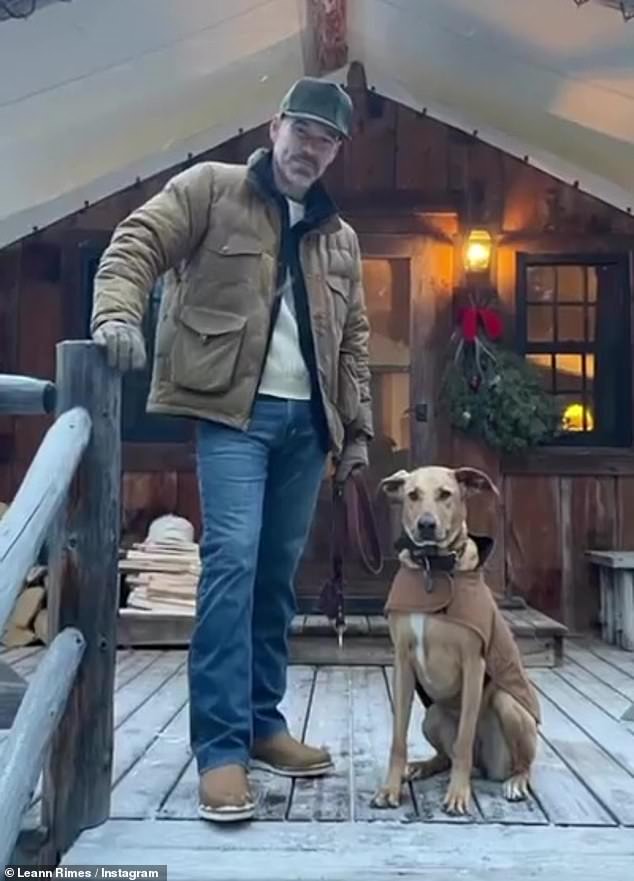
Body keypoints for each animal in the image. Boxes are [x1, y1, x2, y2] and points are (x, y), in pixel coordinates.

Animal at [370, 464, 540, 816]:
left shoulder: (473, 663)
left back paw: (516, 782)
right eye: (412, 495)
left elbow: (463, 741)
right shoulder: (402, 662)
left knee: (517, 762)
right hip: (432, 716)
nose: (426, 524)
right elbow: (397, 738)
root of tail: (485, 766)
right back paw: (421, 766)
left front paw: (458, 795)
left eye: (446, 494)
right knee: (444, 757)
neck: (432, 569)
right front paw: (390, 788)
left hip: (509, 705)